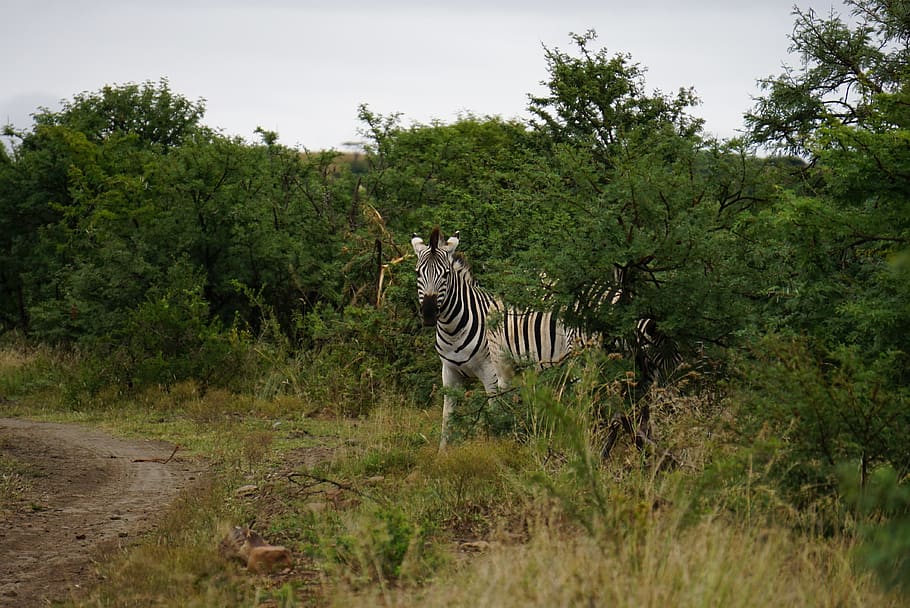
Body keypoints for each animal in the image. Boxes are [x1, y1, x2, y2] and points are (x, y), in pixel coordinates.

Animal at [411, 227, 588, 448]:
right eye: (418, 273)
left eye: (446, 274)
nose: (428, 314)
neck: (453, 331)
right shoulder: (449, 371)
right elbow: (447, 417)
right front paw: (442, 453)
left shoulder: (491, 372)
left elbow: (491, 412)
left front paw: (486, 445)